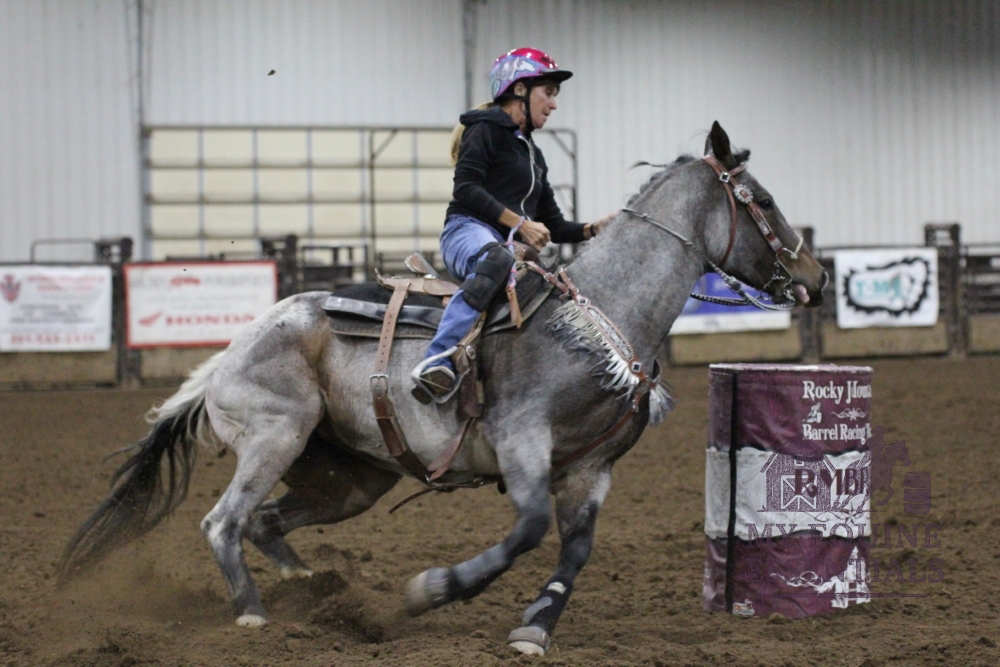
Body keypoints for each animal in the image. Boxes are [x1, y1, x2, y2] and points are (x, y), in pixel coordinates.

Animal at [61, 122, 827, 656]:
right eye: (761, 200)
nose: (816, 278)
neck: (602, 317)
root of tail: (226, 355)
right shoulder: (523, 442)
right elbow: (528, 529)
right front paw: (433, 590)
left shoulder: (592, 468)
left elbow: (573, 550)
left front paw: (535, 628)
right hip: (275, 435)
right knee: (223, 521)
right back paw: (254, 611)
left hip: (349, 477)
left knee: (265, 521)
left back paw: (314, 590)